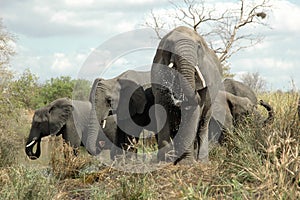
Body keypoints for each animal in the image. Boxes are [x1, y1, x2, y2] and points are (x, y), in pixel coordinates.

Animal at [151, 26, 221, 164]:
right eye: (170, 46)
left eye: (199, 47)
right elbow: (162, 108)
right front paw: (164, 161)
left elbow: (193, 111)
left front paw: (186, 163)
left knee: (203, 123)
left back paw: (202, 161)